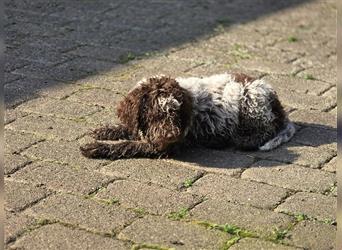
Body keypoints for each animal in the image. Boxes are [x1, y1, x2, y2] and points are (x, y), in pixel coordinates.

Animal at [79, 73, 294, 159]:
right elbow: (129, 129)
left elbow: (128, 145)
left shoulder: (164, 147)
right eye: (154, 115)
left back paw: (243, 140)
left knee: (266, 129)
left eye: (176, 113)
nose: (171, 135)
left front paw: (95, 148)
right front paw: (105, 130)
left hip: (251, 98)